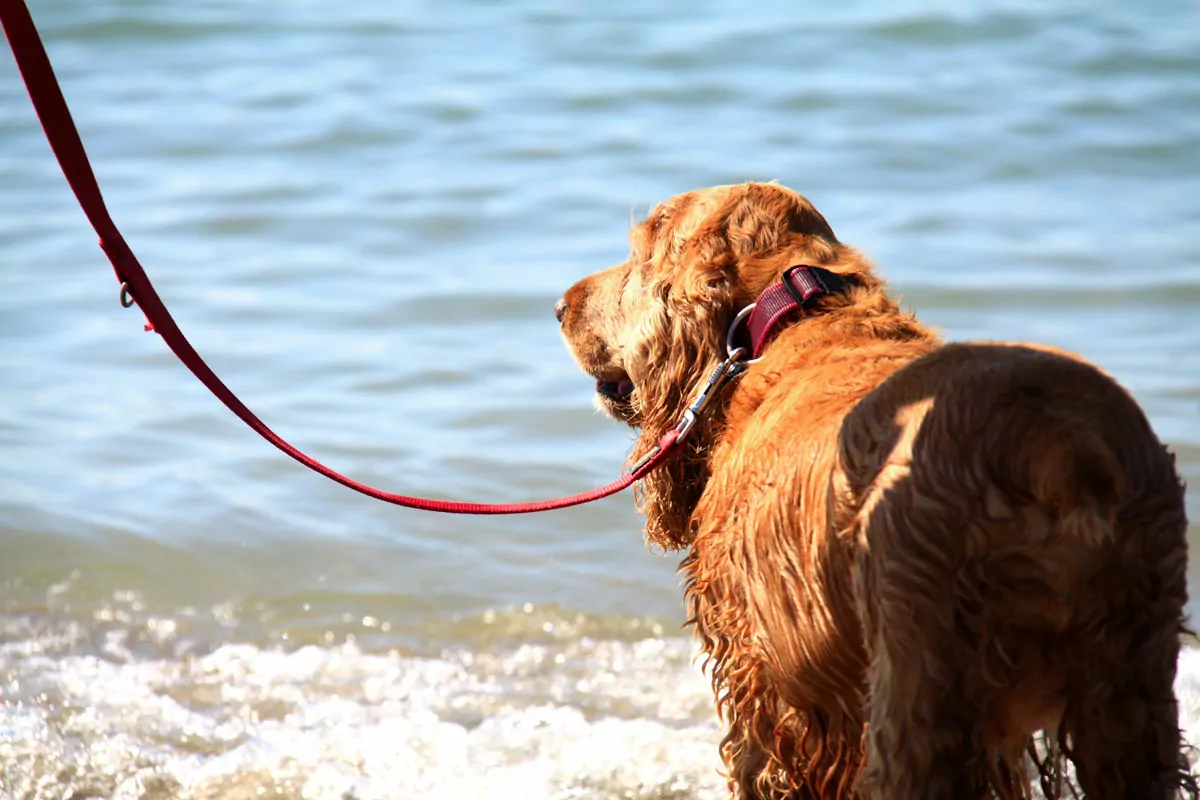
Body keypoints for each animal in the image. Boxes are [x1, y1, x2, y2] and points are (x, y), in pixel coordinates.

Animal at [554, 183, 1190, 800]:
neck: (786, 314)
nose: (560, 306)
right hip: (1129, 691)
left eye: (641, 252)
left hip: (919, 683)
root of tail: (1052, 447)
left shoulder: (761, 674)